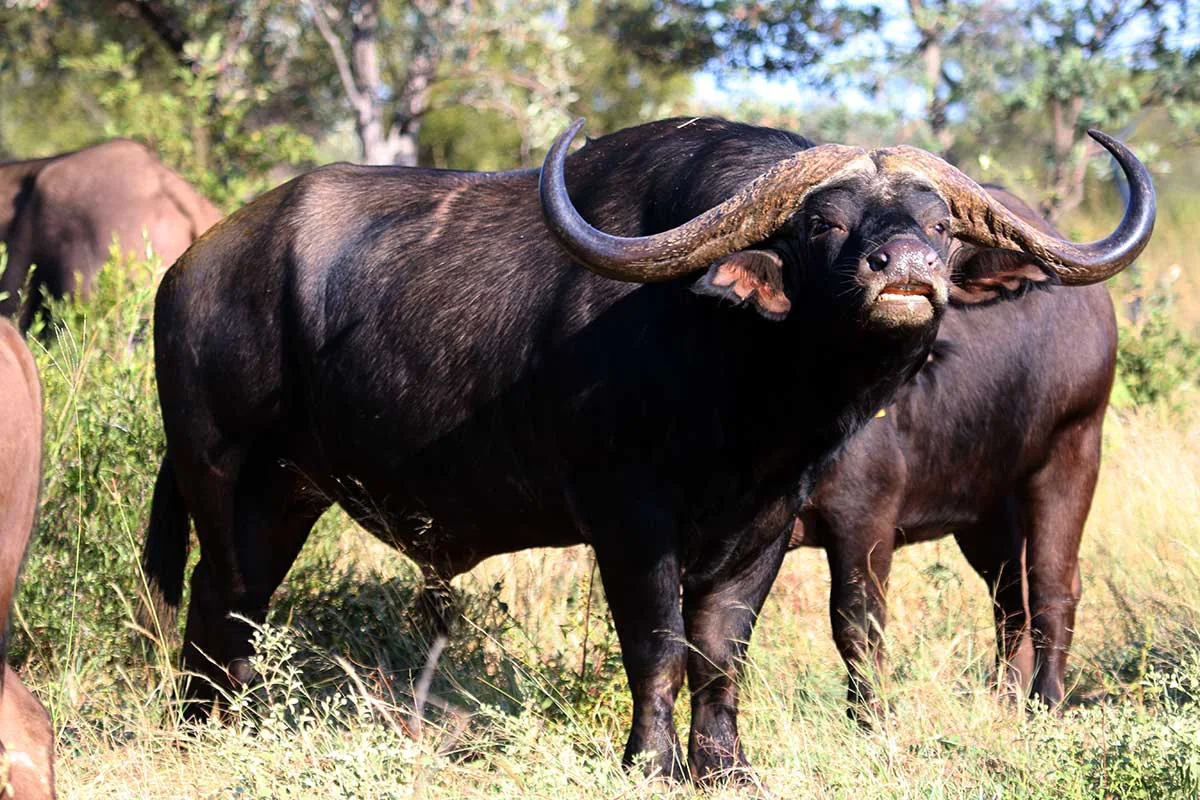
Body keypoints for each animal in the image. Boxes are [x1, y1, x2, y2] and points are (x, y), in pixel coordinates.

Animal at [791, 185, 1115, 721]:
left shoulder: (863, 516)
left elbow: (858, 624)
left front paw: (869, 719)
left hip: (1074, 450)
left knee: (1053, 588)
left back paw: (1047, 703)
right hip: (986, 509)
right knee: (1011, 599)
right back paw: (1007, 699)